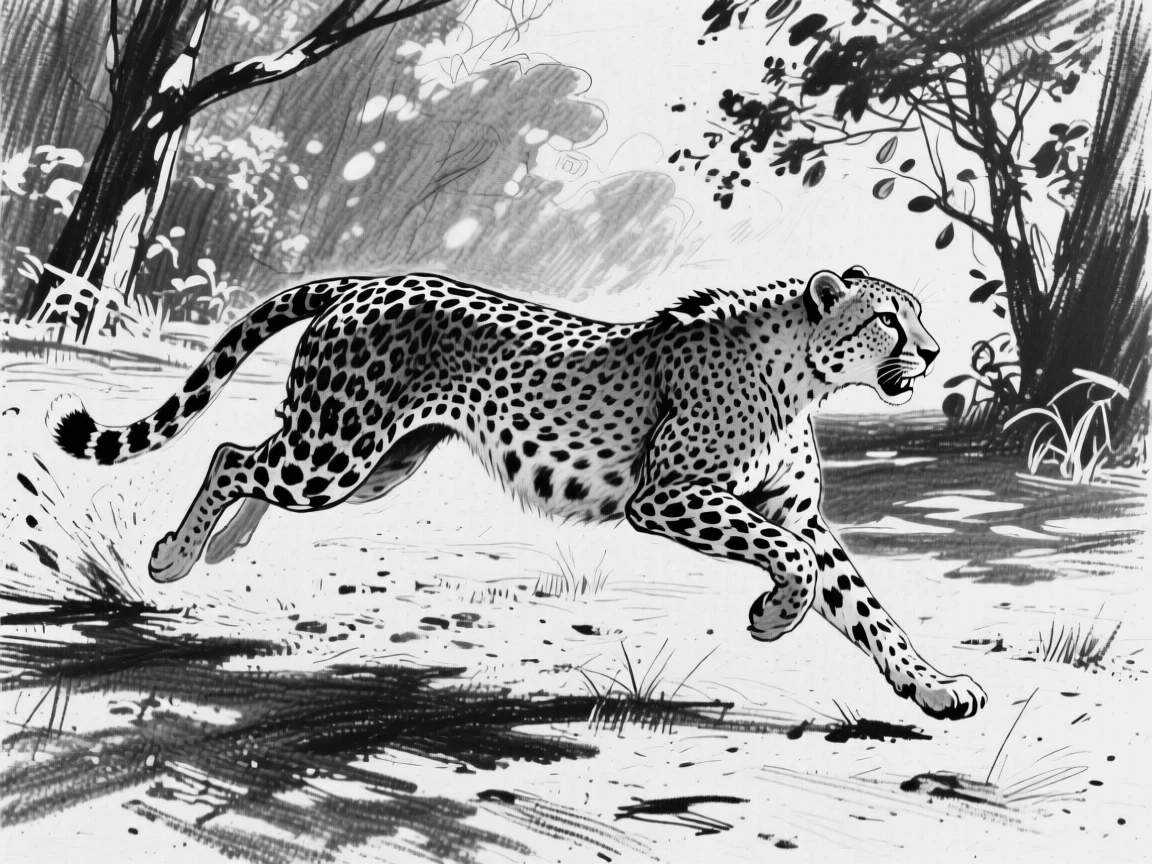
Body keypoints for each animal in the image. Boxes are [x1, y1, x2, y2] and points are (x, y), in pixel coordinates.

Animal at [47, 266, 987, 720]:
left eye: (916, 315)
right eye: (889, 319)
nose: (935, 352)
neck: (800, 374)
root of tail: (363, 281)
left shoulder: (798, 513)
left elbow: (865, 605)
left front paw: (934, 687)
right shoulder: (671, 496)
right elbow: (793, 563)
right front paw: (772, 615)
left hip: (368, 464)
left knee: (250, 453)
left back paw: (223, 545)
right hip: (336, 451)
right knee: (231, 454)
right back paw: (174, 558)